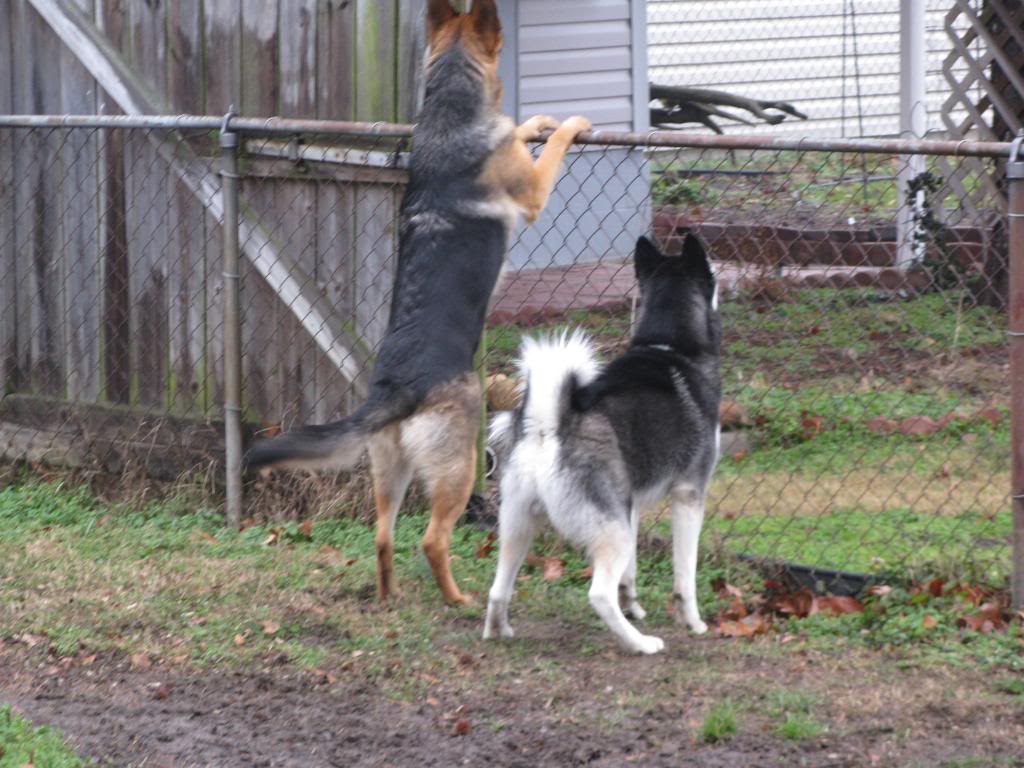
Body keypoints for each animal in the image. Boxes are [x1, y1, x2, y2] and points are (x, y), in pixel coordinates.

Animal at [242, 0, 589, 606]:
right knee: (431, 538)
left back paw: (388, 597)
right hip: (460, 465)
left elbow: (520, 130)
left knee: (382, 535)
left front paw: (533, 123)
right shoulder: (533, 194)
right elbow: (554, 147)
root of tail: (394, 389)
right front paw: (569, 124)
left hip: (390, 470)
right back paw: (458, 599)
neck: (449, 108)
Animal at [485, 234, 720, 655]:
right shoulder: (689, 497)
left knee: (497, 589)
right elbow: (685, 577)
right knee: (598, 595)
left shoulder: (632, 506)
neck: (668, 346)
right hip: (612, 533)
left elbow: (631, 575)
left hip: (519, 524)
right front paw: (693, 622)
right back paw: (641, 644)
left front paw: (635, 606)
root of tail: (550, 426)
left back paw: (499, 630)